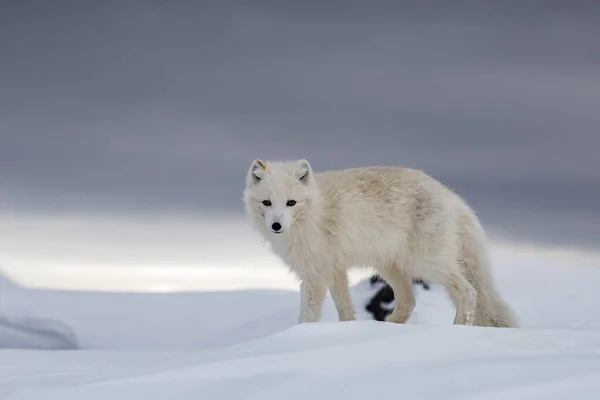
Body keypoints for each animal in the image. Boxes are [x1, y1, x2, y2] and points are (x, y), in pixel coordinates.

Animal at [243, 159, 516, 328]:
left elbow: (308, 315)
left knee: (469, 293)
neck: (313, 213)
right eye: (267, 203)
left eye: (291, 203)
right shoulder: (335, 270)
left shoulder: (315, 274)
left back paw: (456, 328)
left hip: (426, 264)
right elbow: (346, 310)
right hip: (390, 267)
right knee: (408, 301)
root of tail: (451, 196)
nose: (276, 226)